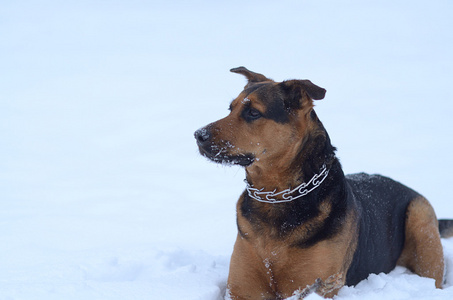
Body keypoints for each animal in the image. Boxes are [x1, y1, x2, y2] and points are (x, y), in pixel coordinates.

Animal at [193, 67, 452, 298]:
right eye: (230, 108)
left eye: (253, 113)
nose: (198, 135)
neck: (276, 196)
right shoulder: (242, 289)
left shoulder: (315, 285)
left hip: (421, 221)